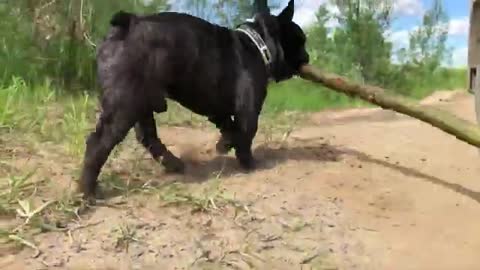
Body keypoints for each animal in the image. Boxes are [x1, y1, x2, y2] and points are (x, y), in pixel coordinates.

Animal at [78, 0, 308, 200]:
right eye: (300, 40)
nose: (307, 57)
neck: (258, 44)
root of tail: (128, 23)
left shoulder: (217, 109)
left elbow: (228, 126)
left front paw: (224, 144)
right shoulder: (249, 109)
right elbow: (246, 134)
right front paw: (248, 163)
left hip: (140, 101)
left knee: (148, 136)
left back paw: (173, 164)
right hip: (125, 104)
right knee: (98, 143)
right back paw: (87, 191)